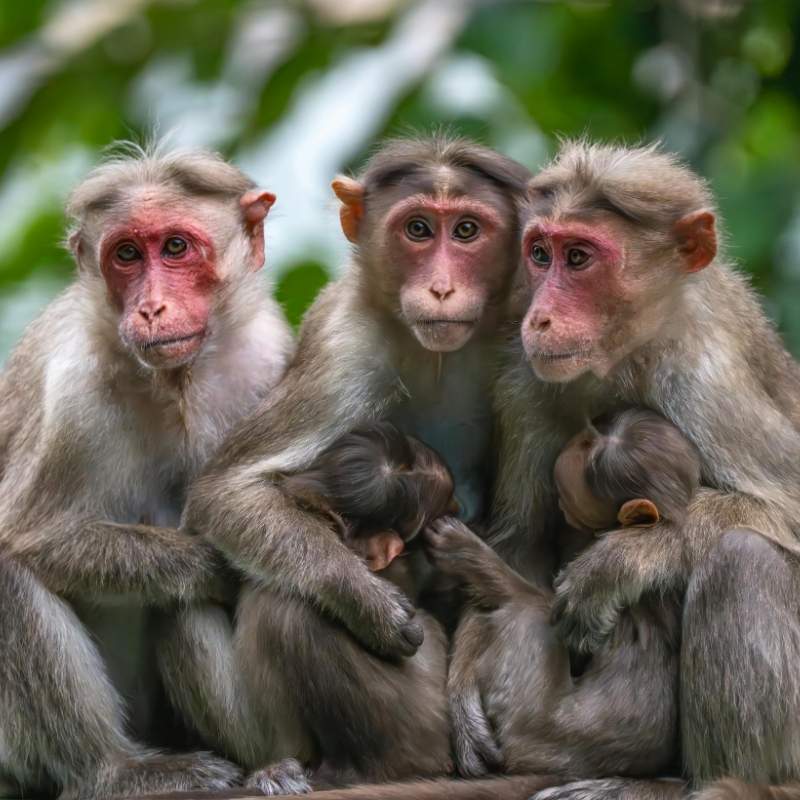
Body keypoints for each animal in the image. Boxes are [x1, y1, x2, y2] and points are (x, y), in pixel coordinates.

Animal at [0, 143, 294, 799]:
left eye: (176, 247)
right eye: (127, 255)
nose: (151, 306)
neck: (174, 382)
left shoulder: (268, 360)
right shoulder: (73, 389)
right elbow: (25, 536)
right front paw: (204, 565)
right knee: (8, 572)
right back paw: (115, 770)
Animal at [446, 140, 800, 800]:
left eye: (580, 258)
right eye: (541, 253)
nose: (539, 318)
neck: (627, 354)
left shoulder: (704, 377)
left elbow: (784, 510)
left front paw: (621, 561)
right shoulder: (526, 377)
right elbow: (523, 540)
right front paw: (463, 680)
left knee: (741, 562)